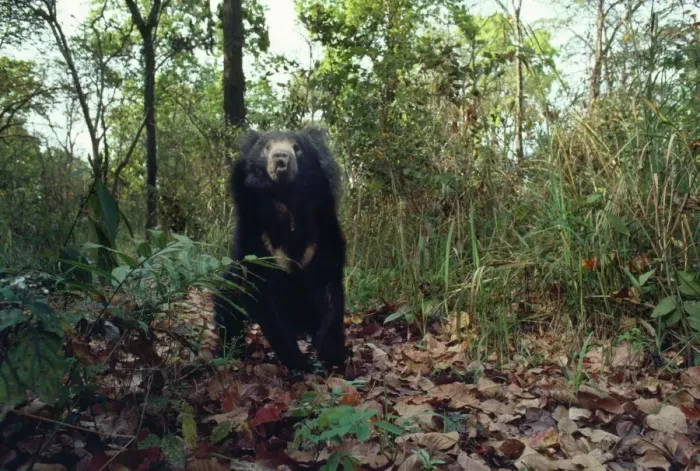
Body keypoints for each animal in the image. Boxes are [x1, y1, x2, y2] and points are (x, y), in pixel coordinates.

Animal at [212, 126, 347, 373]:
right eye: (267, 148)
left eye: (297, 148)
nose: (281, 159)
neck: (287, 200)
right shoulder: (256, 236)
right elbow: (263, 297)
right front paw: (298, 361)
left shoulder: (322, 232)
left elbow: (329, 285)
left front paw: (328, 351)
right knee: (227, 305)